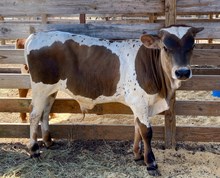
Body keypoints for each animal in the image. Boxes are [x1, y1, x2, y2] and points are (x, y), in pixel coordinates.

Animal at [24, 25, 203, 177]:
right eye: (166, 47)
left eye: (192, 46)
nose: (182, 72)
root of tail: (36, 35)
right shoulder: (139, 102)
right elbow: (146, 131)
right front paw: (151, 163)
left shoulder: (138, 103)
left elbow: (137, 127)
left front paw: (137, 155)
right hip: (40, 87)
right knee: (34, 115)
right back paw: (34, 149)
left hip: (50, 91)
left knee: (45, 113)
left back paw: (48, 141)